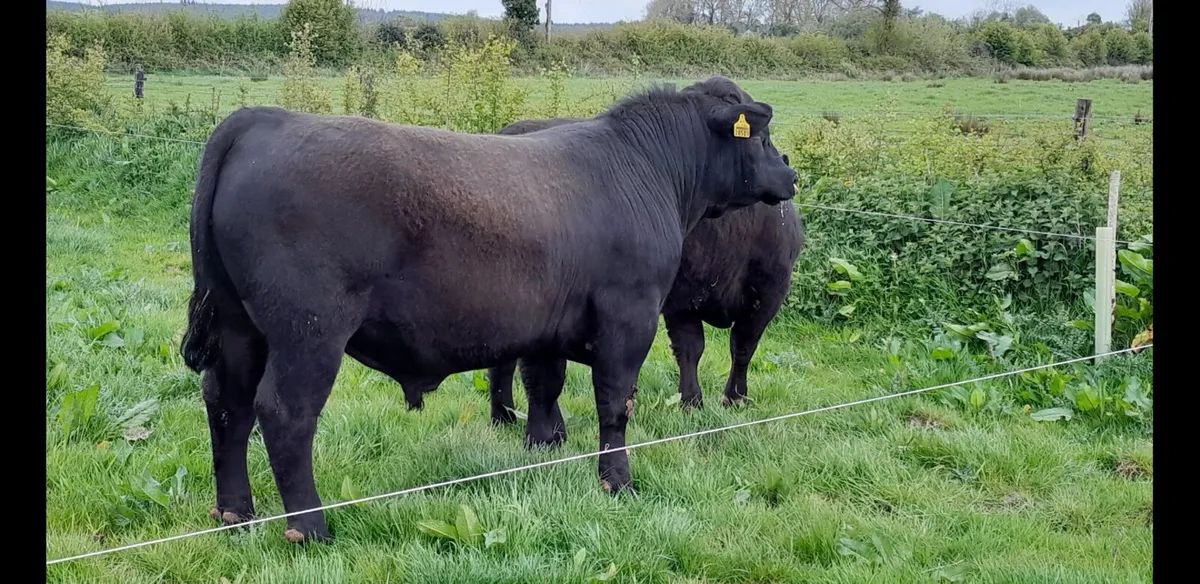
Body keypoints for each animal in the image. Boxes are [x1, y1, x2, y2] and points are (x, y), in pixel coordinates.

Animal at [484, 115, 805, 426]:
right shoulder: (682, 301)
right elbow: (693, 349)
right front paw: (694, 402)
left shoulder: (768, 292)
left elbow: (742, 346)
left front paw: (733, 398)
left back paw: (505, 416)